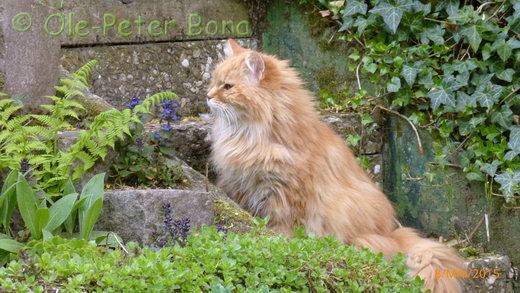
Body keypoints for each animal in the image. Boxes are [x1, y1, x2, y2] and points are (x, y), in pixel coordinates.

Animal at [206, 39, 464, 292]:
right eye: (213, 82)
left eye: (227, 87)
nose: (207, 96)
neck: (252, 135)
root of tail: (395, 235)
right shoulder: (241, 184)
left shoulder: (284, 194)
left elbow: (281, 226)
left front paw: (278, 242)